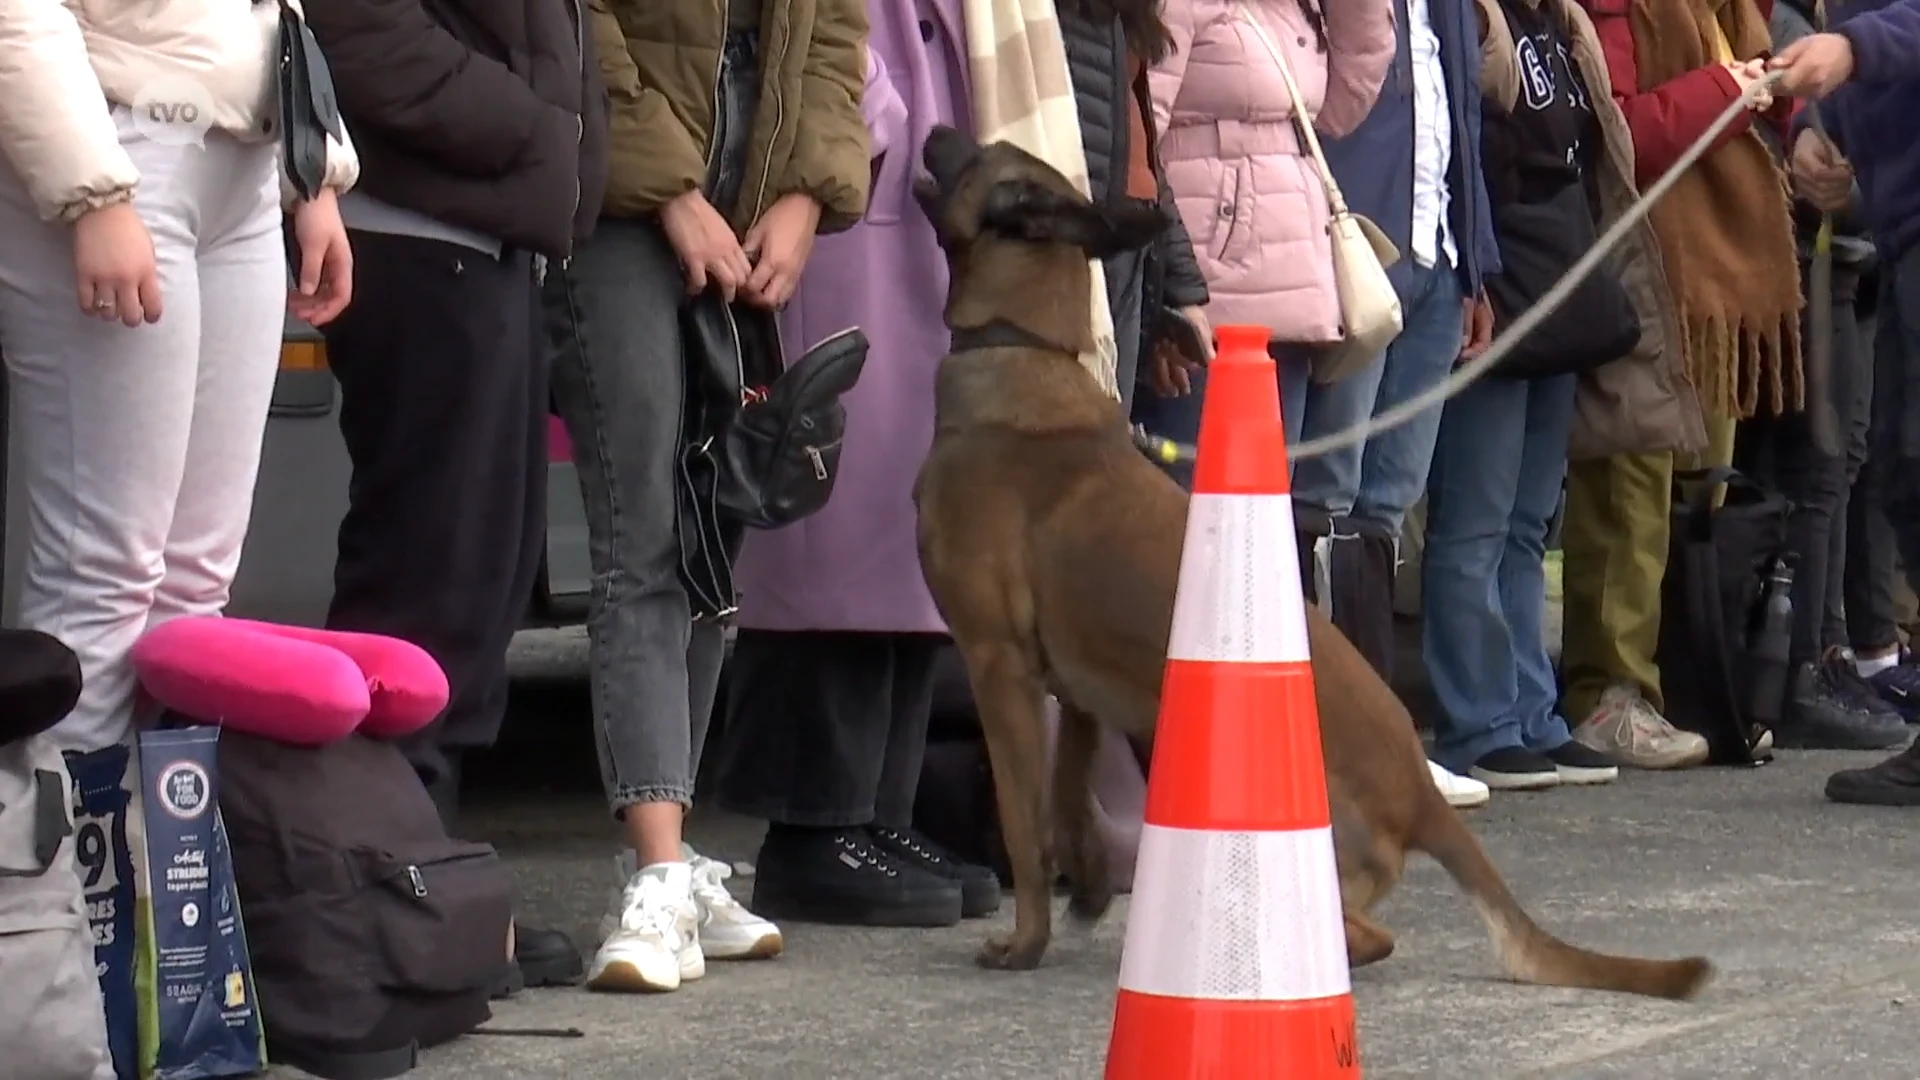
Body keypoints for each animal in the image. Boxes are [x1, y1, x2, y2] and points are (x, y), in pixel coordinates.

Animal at [910, 127, 1712, 999]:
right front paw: (1086, 887)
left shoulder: (1002, 671)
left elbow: (1025, 824)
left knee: (1365, 939)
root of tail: (1420, 790)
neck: (1017, 345)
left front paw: (1024, 939)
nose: (939, 130)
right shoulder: (1078, 692)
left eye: (985, 153)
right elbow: (1067, 802)